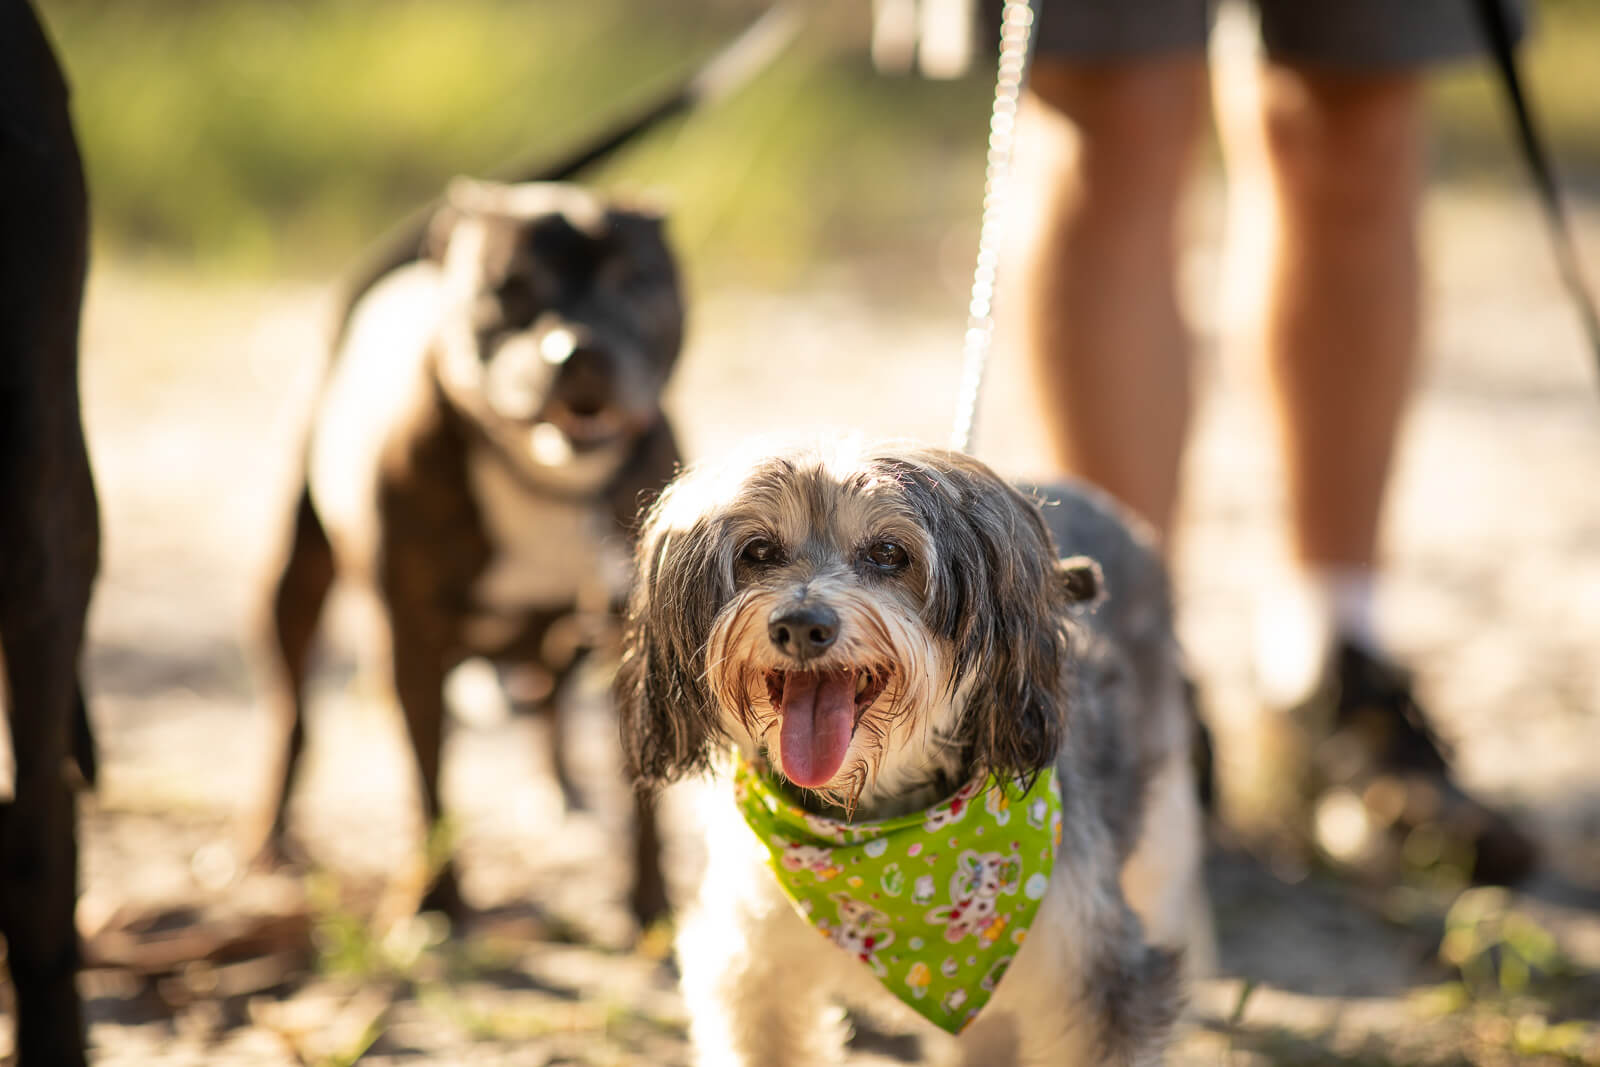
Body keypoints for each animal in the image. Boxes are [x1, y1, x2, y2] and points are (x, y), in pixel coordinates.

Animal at [249, 181, 681, 927]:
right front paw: (434, 899)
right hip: (290, 582)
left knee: (546, 703)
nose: (580, 350)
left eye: (634, 278)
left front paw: (652, 908)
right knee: (291, 712)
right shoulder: (411, 643)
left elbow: (643, 793)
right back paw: (269, 841)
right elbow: (428, 782)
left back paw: (560, 793)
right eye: (508, 288)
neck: (548, 484)